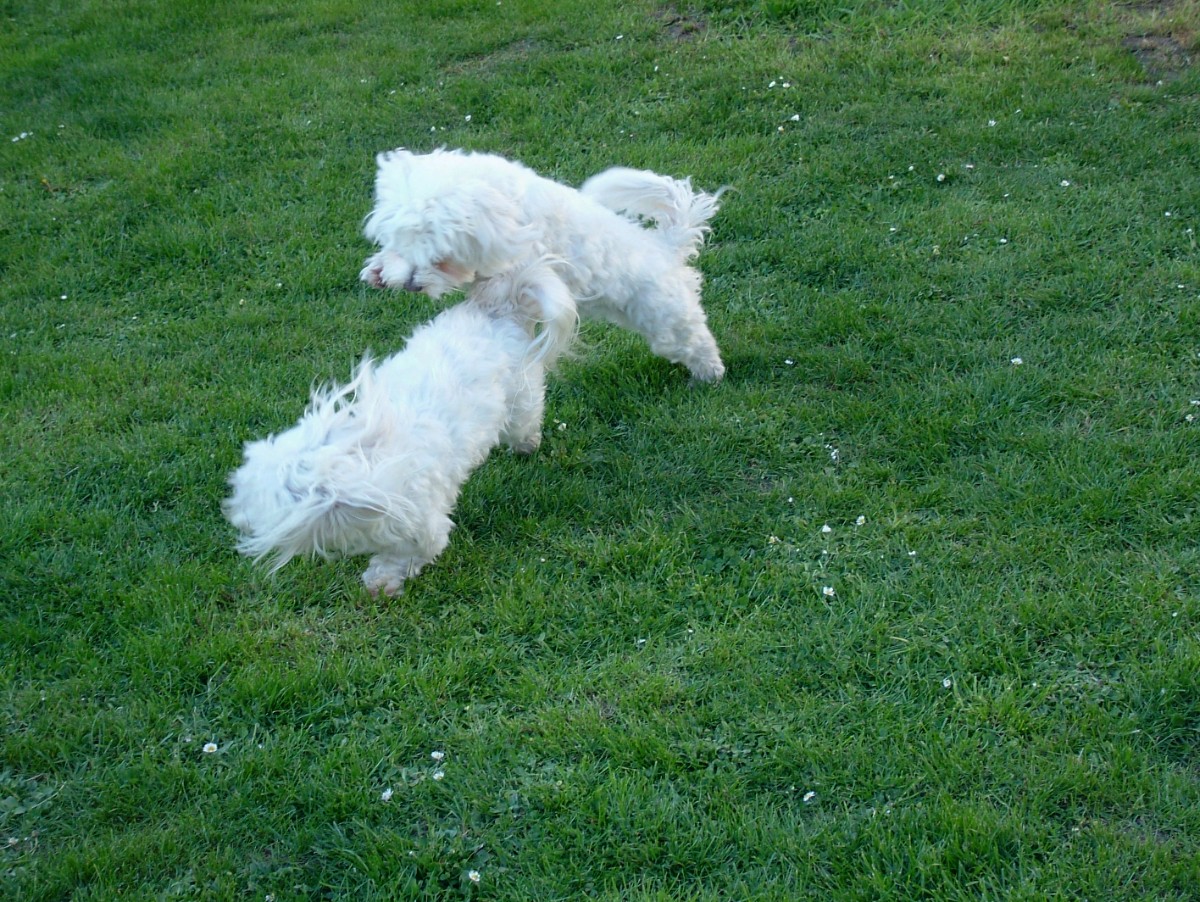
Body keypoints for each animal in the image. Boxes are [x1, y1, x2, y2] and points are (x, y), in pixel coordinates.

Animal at [224, 259, 577, 596]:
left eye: (260, 503)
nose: (232, 514)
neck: (364, 461)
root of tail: (498, 308)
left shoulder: (422, 525)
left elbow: (405, 556)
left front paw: (382, 583)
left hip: (521, 400)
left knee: (526, 422)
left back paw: (526, 445)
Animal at [359, 148, 726, 382]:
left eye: (443, 260)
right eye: (401, 244)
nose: (413, 285)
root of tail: (665, 247)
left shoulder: (520, 261)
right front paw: (381, 270)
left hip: (667, 319)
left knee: (696, 341)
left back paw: (710, 375)